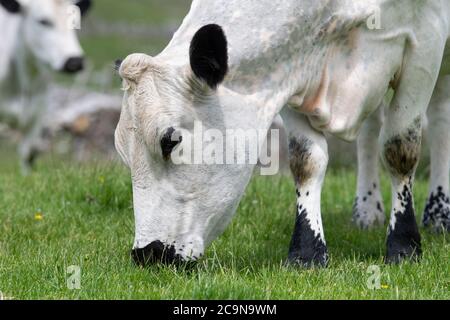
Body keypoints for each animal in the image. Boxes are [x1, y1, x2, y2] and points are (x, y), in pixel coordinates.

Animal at [116, 0, 450, 268]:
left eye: (171, 140)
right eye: (124, 156)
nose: (147, 253)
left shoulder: (426, 40)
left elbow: (399, 148)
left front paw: (404, 245)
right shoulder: (293, 72)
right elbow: (306, 160)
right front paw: (307, 252)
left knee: (439, 116)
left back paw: (438, 214)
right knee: (370, 128)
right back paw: (367, 210)